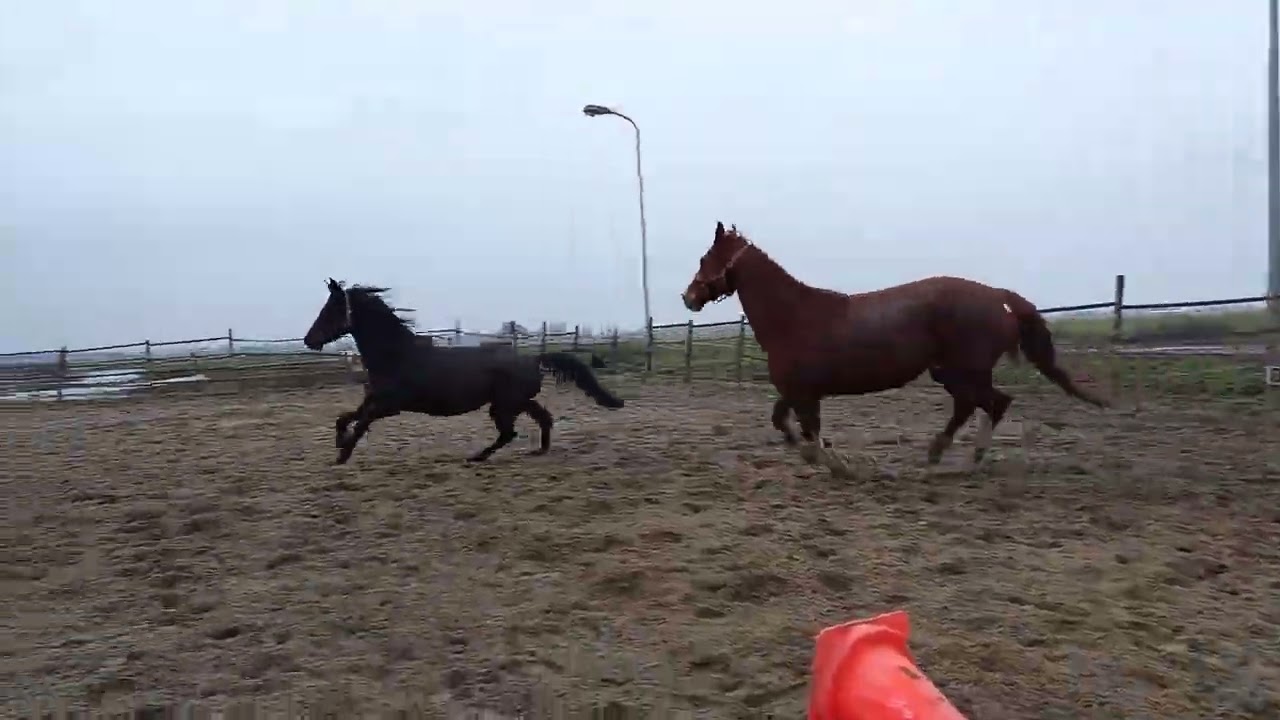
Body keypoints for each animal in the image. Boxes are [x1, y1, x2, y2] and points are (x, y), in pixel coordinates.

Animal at [303, 278, 625, 464]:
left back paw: (477, 457)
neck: (397, 356)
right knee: (543, 418)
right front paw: (339, 444)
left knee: (509, 433)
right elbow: (345, 417)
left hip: (503, 406)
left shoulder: (390, 405)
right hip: (517, 402)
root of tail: (533, 359)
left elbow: (361, 423)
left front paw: (342, 455)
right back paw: (538, 451)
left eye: (330, 310)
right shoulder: (375, 399)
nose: (309, 340)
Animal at [680, 222, 1108, 469]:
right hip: (949, 372)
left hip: (965, 370)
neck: (793, 316)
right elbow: (783, 420)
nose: (688, 297)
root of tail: (998, 297)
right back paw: (940, 452)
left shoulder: (805, 393)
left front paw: (832, 460)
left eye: (704, 257)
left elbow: (810, 428)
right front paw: (807, 450)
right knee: (974, 405)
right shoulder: (796, 389)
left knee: (993, 403)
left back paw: (971, 457)